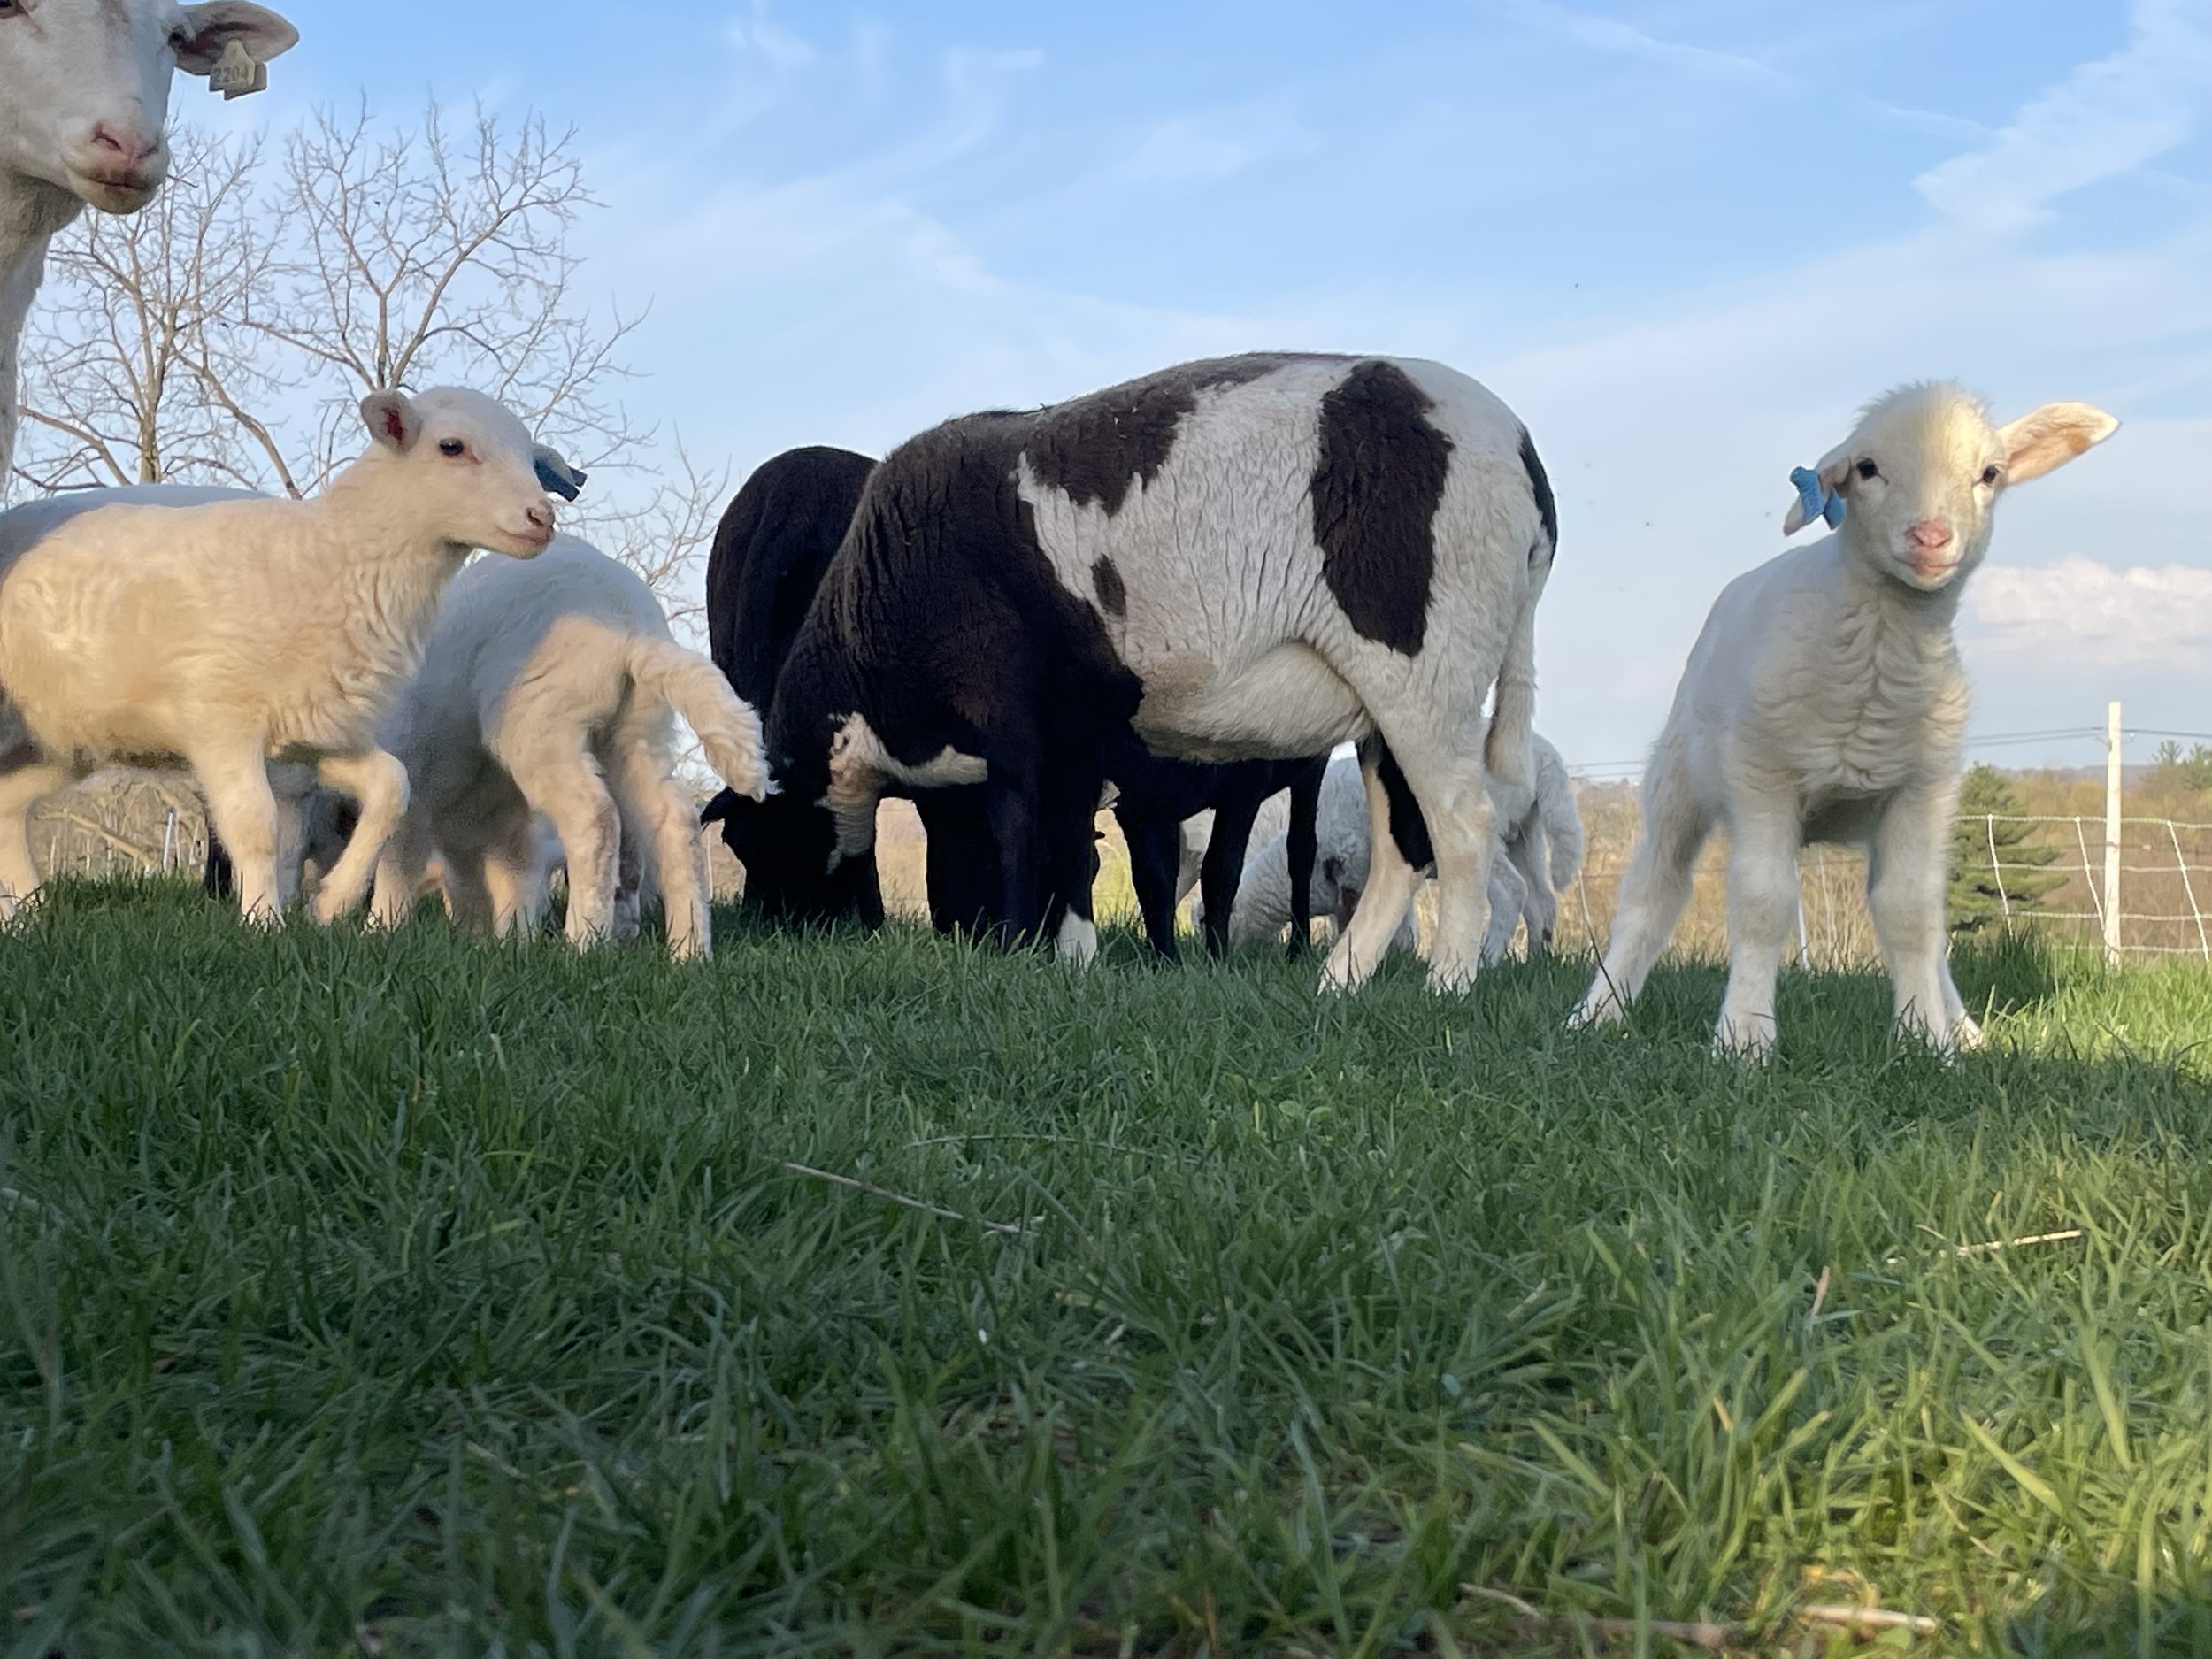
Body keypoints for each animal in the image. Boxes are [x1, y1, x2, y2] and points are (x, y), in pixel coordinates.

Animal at [0, 386, 567, 921]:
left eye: (529, 455)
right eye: (452, 447)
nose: (541, 518)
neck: (329, 555)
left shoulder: (313, 731)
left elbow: (391, 787)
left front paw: (333, 901)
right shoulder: (221, 720)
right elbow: (258, 827)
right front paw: (263, 920)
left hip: (50, 739)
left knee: (8, 810)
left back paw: (27, 917)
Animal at [369, 535, 768, 961]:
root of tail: (631, 628)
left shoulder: (417, 777)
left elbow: (399, 862)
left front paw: (380, 930)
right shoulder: (496, 829)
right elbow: (495, 884)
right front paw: (497, 942)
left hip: (543, 724)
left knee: (595, 817)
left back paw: (582, 942)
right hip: (635, 734)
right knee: (674, 822)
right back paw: (689, 950)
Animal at [757, 352, 1558, 992]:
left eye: (758, 828)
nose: (781, 930)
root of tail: (1527, 462)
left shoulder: (1007, 713)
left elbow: (1018, 832)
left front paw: (1015, 953)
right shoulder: (1075, 736)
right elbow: (1071, 846)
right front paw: (1073, 959)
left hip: (1428, 666)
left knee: (1462, 826)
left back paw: (1445, 984)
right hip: (1387, 707)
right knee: (1404, 843)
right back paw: (1341, 983)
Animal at [1573, 384, 2118, 1057]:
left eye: (1990, 474)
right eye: (1867, 468)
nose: (1930, 536)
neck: (1873, 658)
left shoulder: (1923, 788)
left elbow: (1911, 914)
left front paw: (1925, 1037)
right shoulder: (1762, 773)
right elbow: (1763, 902)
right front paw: (1745, 1037)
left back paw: (1961, 1027)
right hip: (1677, 779)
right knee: (1654, 895)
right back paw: (1599, 1012)